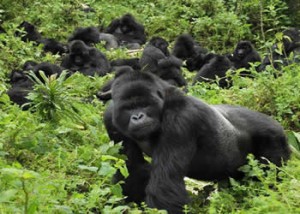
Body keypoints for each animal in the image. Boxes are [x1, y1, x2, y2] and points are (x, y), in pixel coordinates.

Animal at [105, 66, 290, 213]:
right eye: (129, 108)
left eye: (145, 104)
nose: (138, 116)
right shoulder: (111, 118)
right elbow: (132, 169)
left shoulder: (180, 118)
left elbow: (164, 185)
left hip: (274, 137)